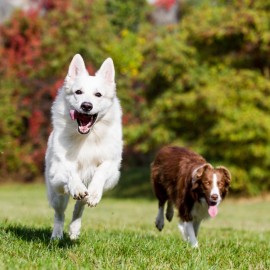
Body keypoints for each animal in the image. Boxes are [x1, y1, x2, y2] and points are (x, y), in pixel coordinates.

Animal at [45, 53, 122, 239]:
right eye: (78, 92)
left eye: (98, 94)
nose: (86, 105)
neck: (88, 137)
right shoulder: (59, 168)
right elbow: (71, 172)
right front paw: (77, 187)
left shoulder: (112, 167)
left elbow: (101, 171)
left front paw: (94, 193)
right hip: (57, 193)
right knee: (60, 214)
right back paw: (57, 236)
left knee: (78, 209)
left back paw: (74, 230)